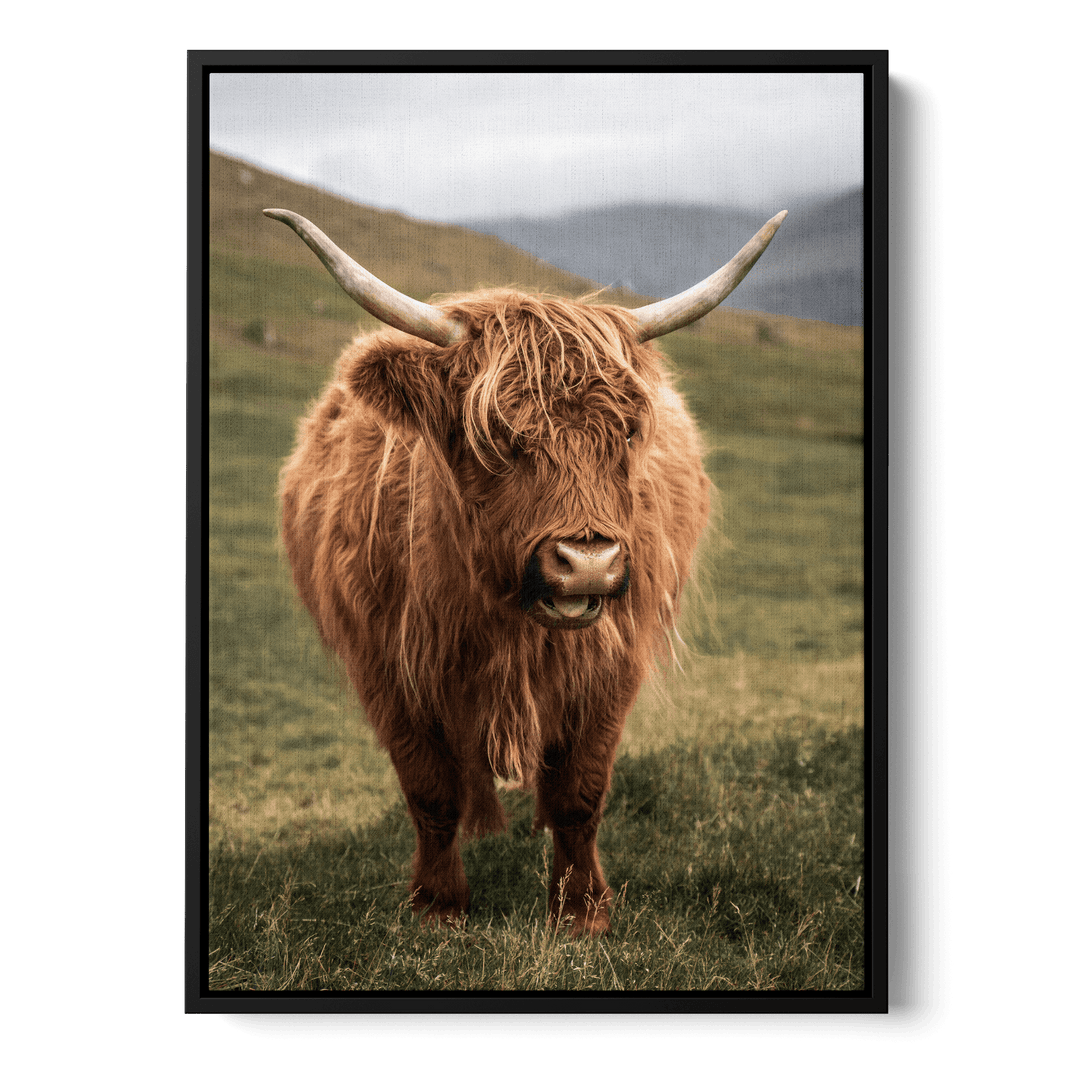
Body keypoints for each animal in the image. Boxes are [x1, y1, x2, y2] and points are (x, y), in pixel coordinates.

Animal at [266, 206, 786, 935]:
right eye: (497, 436)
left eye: (627, 433)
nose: (588, 563)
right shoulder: (386, 667)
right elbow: (430, 790)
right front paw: (438, 905)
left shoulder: (611, 664)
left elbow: (580, 792)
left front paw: (582, 911)